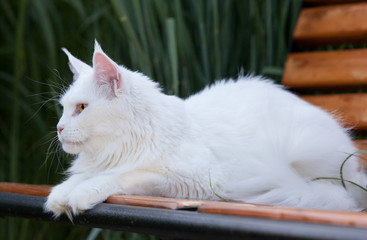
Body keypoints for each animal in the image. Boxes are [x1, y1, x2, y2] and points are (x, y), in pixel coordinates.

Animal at [44, 41, 366, 218]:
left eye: (81, 108)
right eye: (63, 108)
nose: (58, 128)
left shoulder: (195, 179)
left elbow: (123, 175)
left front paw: (84, 193)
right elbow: (79, 179)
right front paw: (61, 196)